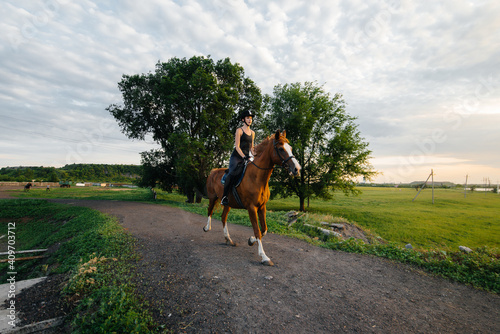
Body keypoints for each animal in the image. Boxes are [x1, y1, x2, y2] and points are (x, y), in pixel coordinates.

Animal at [204, 130, 300, 266]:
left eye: (290, 148)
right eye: (281, 149)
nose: (297, 169)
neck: (257, 178)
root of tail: (213, 171)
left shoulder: (262, 207)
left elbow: (264, 229)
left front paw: (251, 240)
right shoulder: (251, 208)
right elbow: (257, 230)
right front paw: (264, 257)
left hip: (228, 203)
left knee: (223, 218)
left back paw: (228, 239)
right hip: (212, 198)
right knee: (210, 211)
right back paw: (207, 228)